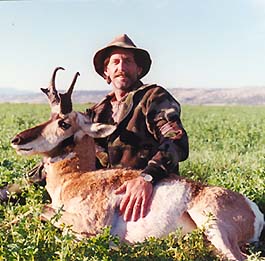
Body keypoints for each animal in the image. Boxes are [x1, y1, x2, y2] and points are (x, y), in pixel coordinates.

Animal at [11, 67, 262, 260]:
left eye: (63, 123)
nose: (16, 140)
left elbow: (40, 209)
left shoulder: (88, 224)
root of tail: (253, 208)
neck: (75, 178)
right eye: (49, 117)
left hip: (214, 228)